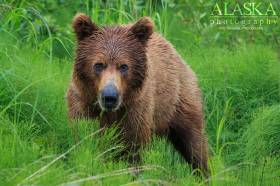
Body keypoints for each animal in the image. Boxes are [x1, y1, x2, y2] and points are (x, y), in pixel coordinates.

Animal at [67, 13, 208, 174]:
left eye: (124, 66)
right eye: (98, 65)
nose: (110, 97)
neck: (112, 111)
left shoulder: (136, 110)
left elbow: (133, 148)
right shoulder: (83, 103)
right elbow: (86, 138)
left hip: (179, 101)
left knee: (194, 142)